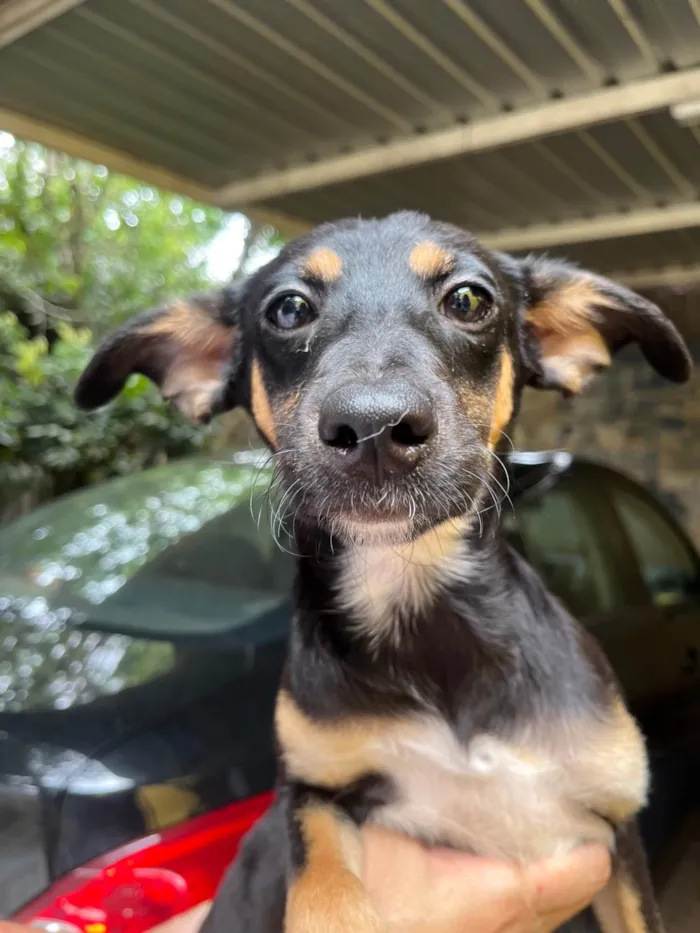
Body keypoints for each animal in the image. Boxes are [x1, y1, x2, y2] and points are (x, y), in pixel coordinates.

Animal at [75, 213, 688, 932]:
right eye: (288, 309)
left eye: (468, 299)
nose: (372, 427)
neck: (412, 595)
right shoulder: (311, 790)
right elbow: (323, 890)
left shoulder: (613, 825)